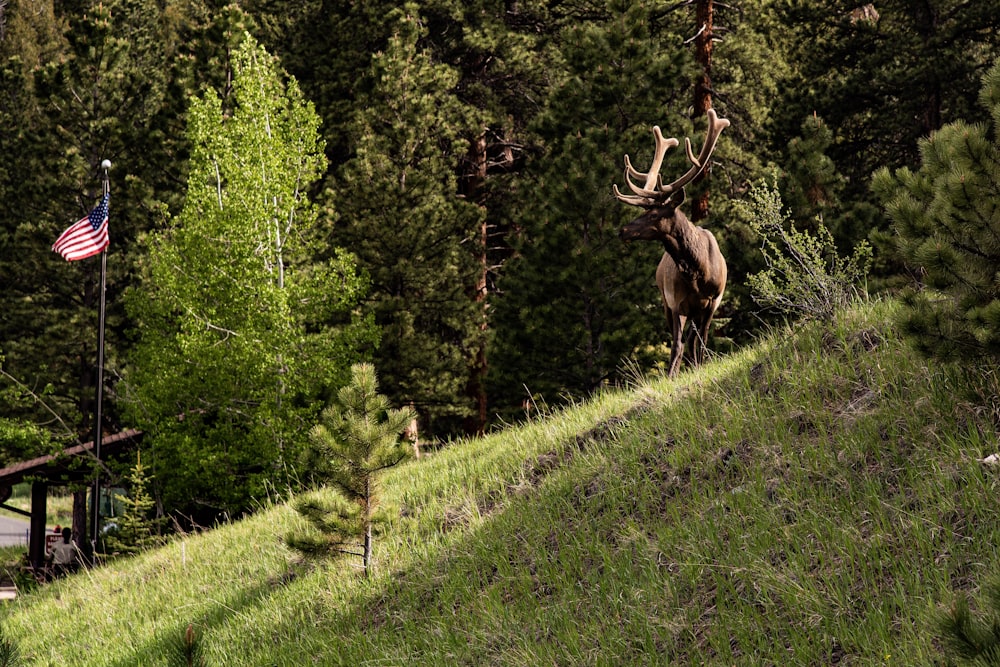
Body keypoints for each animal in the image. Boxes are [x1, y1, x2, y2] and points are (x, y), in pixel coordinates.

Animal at [608, 112, 728, 378]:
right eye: (644, 211)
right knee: (682, 341)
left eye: (654, 214)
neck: (698, 273)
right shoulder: (675, 303)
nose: (623, 230)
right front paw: (671, 376)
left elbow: (701, 342)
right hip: (667, 303)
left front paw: (698, 367)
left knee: (694, 341)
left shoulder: (713, 302)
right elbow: (677, 345)